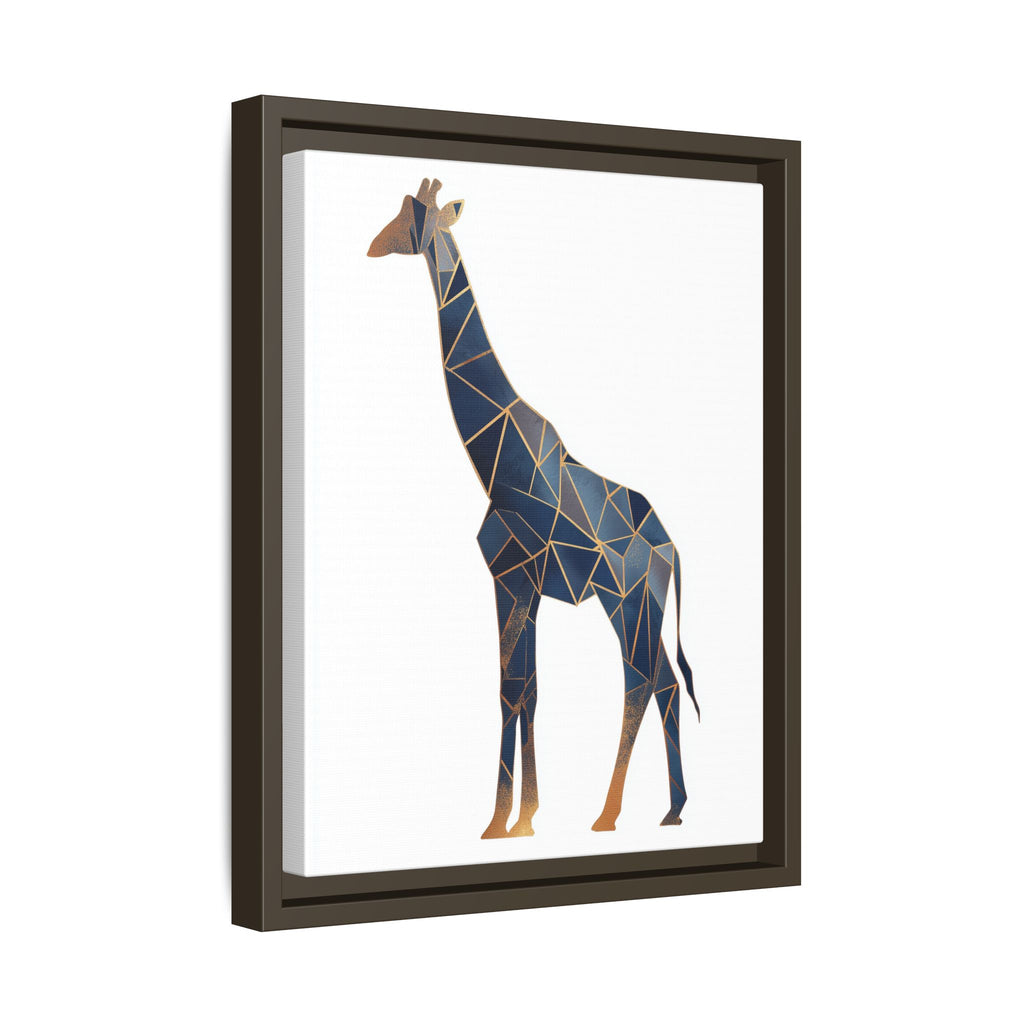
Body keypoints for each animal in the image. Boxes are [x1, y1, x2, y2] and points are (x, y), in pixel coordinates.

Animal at [368, 178, 699, 838]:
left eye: (411, 216)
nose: (372, 245)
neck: (496, 461)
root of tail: (671, 550)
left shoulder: (510, 577)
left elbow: (510, 689)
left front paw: (500, 822)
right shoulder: (525, 585)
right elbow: (528, 690)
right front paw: (524, 818)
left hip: (624, 599)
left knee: (640, 681)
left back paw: (609, 814)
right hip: (642, 604)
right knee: (666, 683)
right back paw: (672, 810)